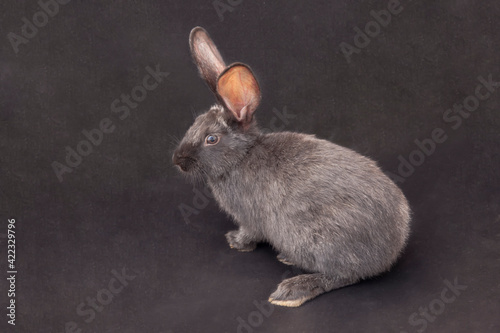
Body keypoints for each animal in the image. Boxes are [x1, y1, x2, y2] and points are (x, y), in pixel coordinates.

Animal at [172, 27, 410, 308]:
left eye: (211, 139)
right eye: (195, 123)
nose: (178, 160)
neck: (242, 156)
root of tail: (392, 248)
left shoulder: (249, 218)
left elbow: (249, 233)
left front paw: (235, 242)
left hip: (319, 240)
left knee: (343, 275)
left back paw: (293, 290)